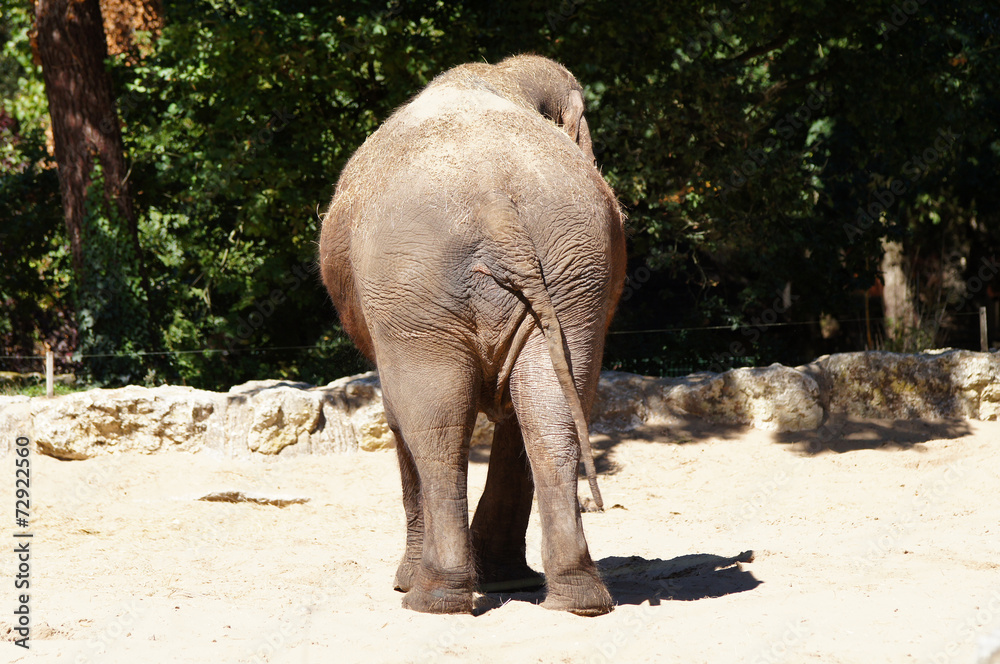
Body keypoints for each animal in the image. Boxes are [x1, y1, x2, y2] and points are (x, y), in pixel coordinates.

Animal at [318, 54, 626, 616]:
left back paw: (428, 597)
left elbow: (400, 415)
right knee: (552, 411)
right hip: (573, 271)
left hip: (412, 288)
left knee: (434, 424)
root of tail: (496, 205)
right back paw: (575, 598)